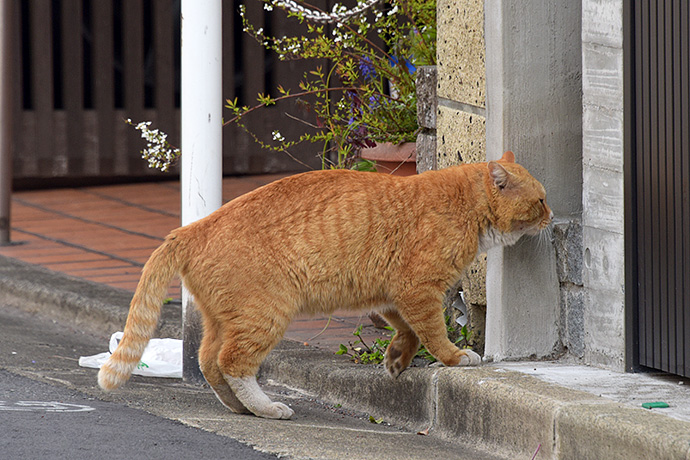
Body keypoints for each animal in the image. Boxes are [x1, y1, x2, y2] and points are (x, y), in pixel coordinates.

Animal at [97, 151, 552, 420]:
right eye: (541, 200)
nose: (553, 217)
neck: (463, 204)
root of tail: (192, 228)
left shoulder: (390, 295)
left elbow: (407, 331)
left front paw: (396, 359)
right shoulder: (416, 290)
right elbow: (433, 333)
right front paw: (456, 358)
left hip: (223, 318)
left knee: (208, 360)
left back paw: (239, 407)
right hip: (266, 314)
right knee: (232, 362)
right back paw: (267, 408)